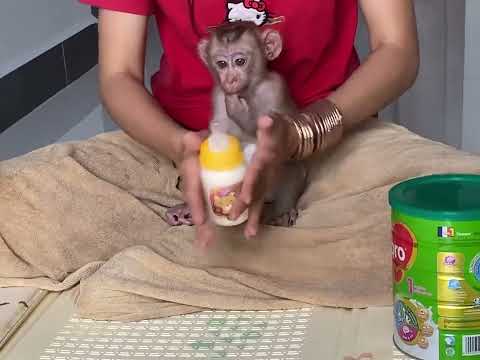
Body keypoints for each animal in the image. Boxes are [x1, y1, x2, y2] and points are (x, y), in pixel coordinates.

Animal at [166, 19, 308, 226]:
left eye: (240, 61)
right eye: (222, 64)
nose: (230, 79)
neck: (249, 90)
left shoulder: (274, 88)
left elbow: (271, 135)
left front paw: (237, 107)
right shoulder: (218, 94)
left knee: (288, 170)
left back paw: (281, 212)